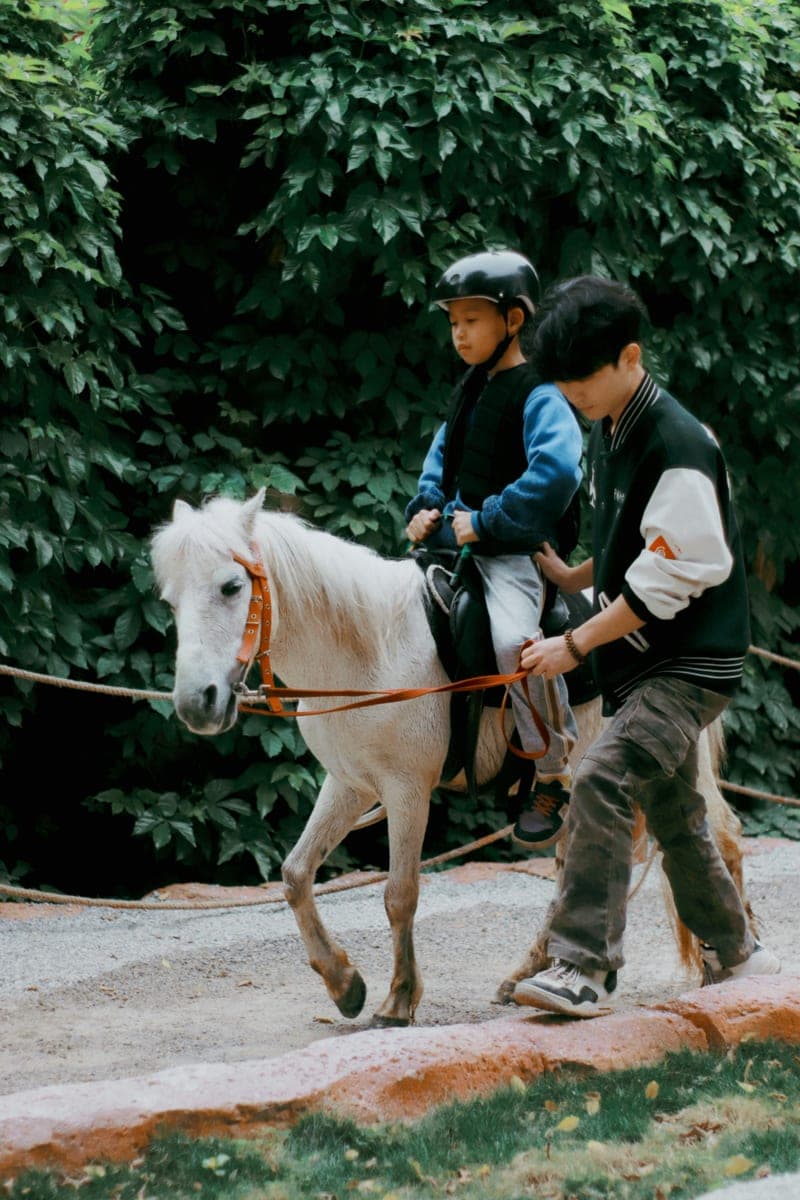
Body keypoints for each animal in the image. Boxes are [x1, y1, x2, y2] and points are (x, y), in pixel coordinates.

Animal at [150, 489, 755, 1025]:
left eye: (232, 586)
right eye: (171, 601)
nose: (197, 702)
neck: (369, 650)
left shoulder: (406, 791)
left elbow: (399, 894)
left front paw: (398, 1000)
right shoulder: (349, 785)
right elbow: (297, 874)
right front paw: (345, 985)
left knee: (718, 837)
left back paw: (724, 967)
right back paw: (537, 975)